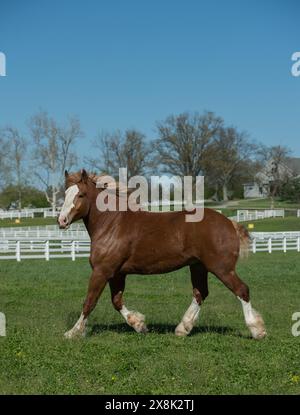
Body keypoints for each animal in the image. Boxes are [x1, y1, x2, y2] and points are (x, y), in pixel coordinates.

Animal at [57, 169, 266, 342]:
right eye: (65, 194)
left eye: (81, 194)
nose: (61, 221)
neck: (112, 224)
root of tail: (230, 223)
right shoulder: (117, 274)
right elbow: (116, 302)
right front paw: (139, 325)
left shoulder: (102, 271)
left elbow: (89, 302)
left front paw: (73, 333)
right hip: (198, 266)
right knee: (200, 293)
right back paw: (182, 329)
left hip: (221, 268)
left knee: (242, 290)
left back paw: (257, 331)